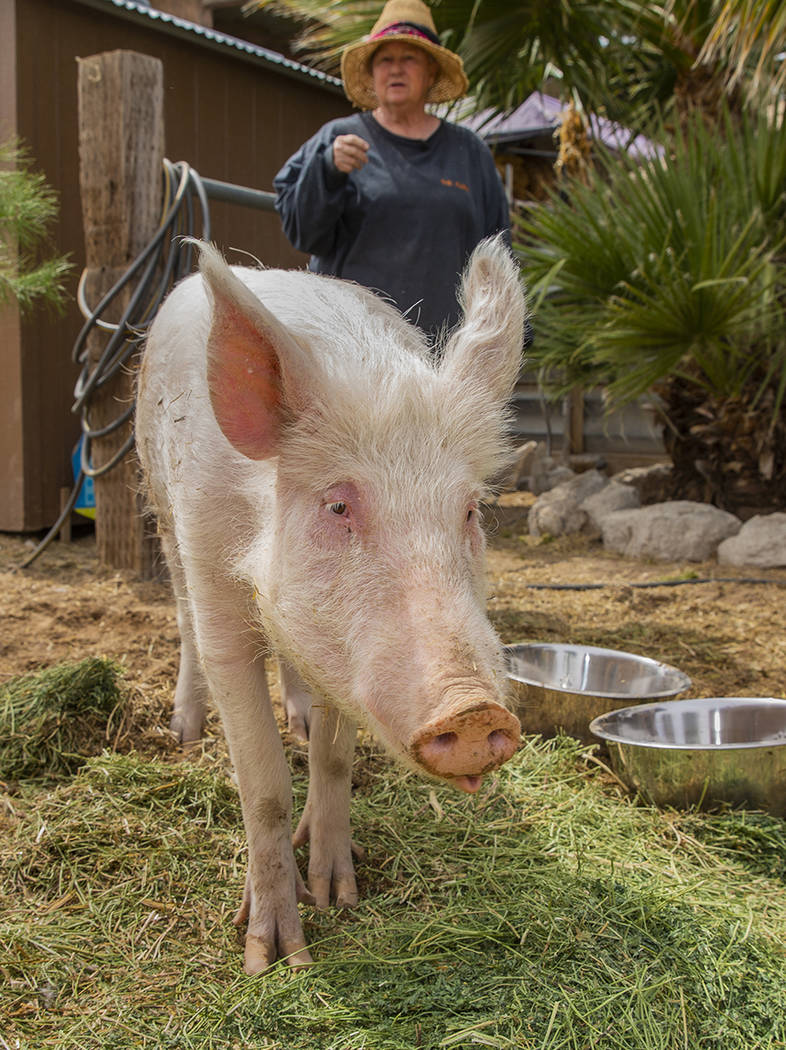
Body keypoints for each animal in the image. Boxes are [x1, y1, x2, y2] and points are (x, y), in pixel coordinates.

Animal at [135, 235, 526, 974]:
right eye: (338, 505)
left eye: (468, 511)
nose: (473, 710)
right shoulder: (213, 575)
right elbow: (262, 785)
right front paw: (274, 957)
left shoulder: (342, 656)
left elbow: (335, 760)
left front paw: (339, 895)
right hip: (159, 504)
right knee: (181, 618)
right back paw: (185, 734)